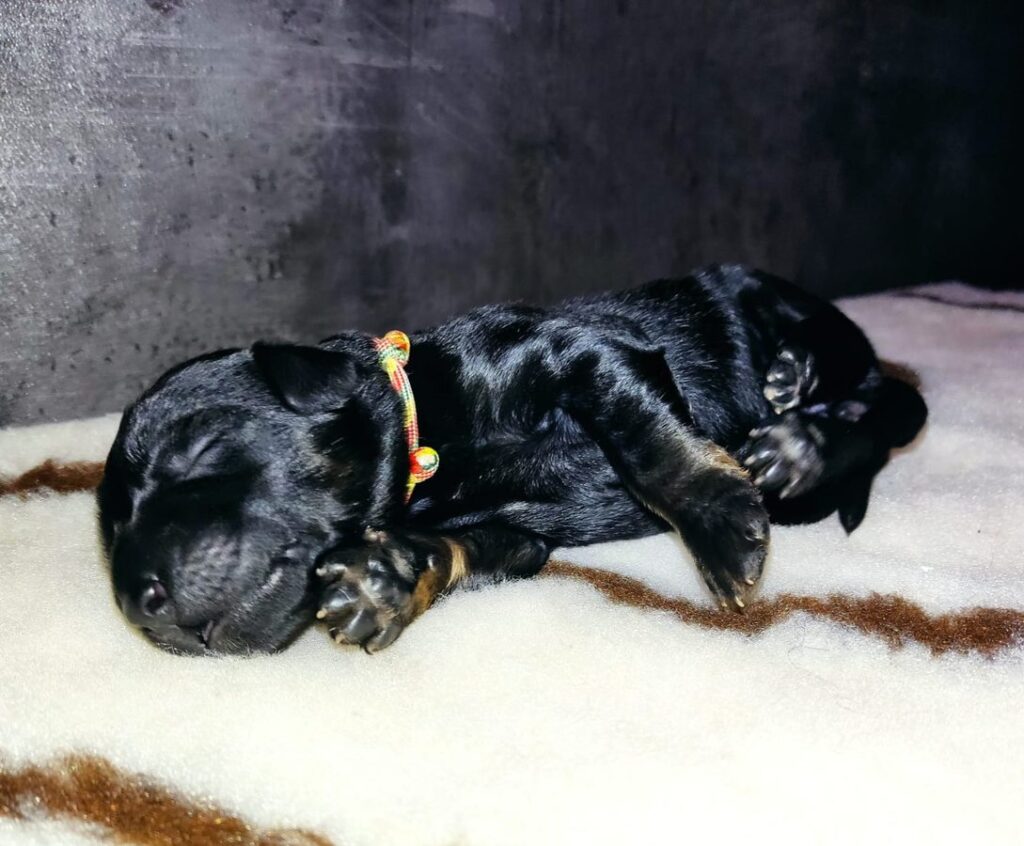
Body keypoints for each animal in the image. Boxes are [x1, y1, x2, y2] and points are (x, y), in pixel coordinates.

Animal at [97, 265, 927, 655]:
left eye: (196, 449)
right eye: (112, 530)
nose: (140, 604)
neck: (428, 433)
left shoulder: (577, 351)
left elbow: (644, 440)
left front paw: (717, 523)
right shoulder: (516, 538)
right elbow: (453, 550)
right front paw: (381, 582)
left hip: (789, 312)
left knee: (888, 405)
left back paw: (795, 419)